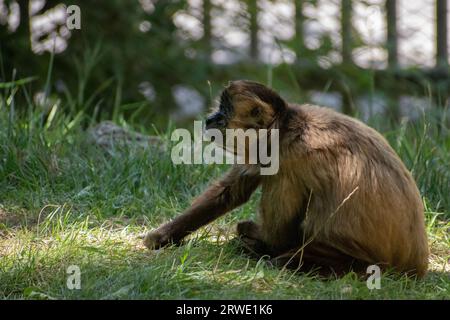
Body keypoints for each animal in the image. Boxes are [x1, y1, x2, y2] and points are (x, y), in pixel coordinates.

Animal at [144, 80, 428, 278]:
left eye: (223, 114)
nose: (210, 119)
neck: (288, 123)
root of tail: (414, 263)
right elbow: (232, 191)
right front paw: (162, 236)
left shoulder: (287, 154)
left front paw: (266, 243)